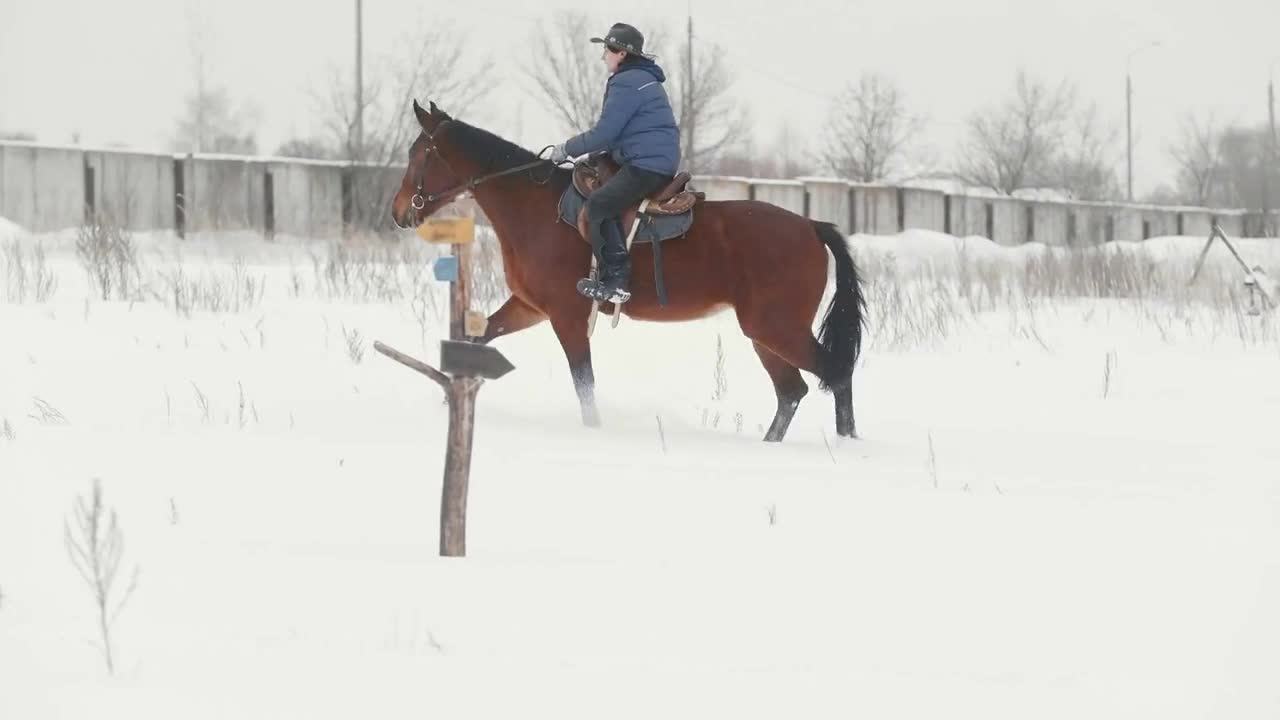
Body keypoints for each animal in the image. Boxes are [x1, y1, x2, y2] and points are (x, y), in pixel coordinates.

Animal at [389, 98, 870, 440]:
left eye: (419, 154)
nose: (398, 211)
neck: (535, 208)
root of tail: (810, 226)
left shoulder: (566, 316)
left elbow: (584, 385)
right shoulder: (531, 308)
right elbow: (480, 336)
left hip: (775, 327)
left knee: (835, 375)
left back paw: (846, 443)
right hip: (765, 334)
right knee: (793, 392)